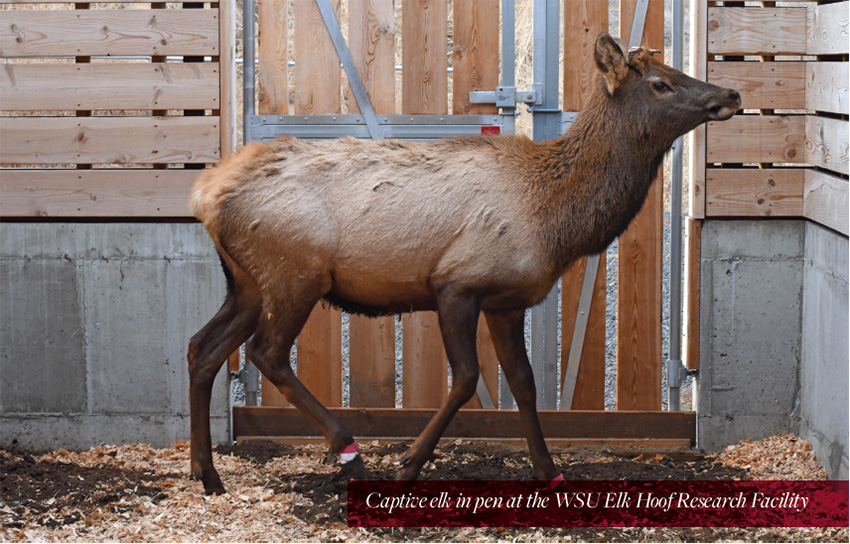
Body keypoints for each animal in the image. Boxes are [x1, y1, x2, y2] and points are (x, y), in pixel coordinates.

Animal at [187, 32, 741, 494]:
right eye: (661, 83)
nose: (731, 95)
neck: (555, 222)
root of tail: (205, 195)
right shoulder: (455, 284)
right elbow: (469, 378)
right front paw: (409, 463)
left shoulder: (507, 301)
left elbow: (523, 383)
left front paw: (550, 471)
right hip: (296, 273)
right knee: (267, 353)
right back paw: (348, 451)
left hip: (248, 283)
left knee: (202, 348)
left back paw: (206, 473)